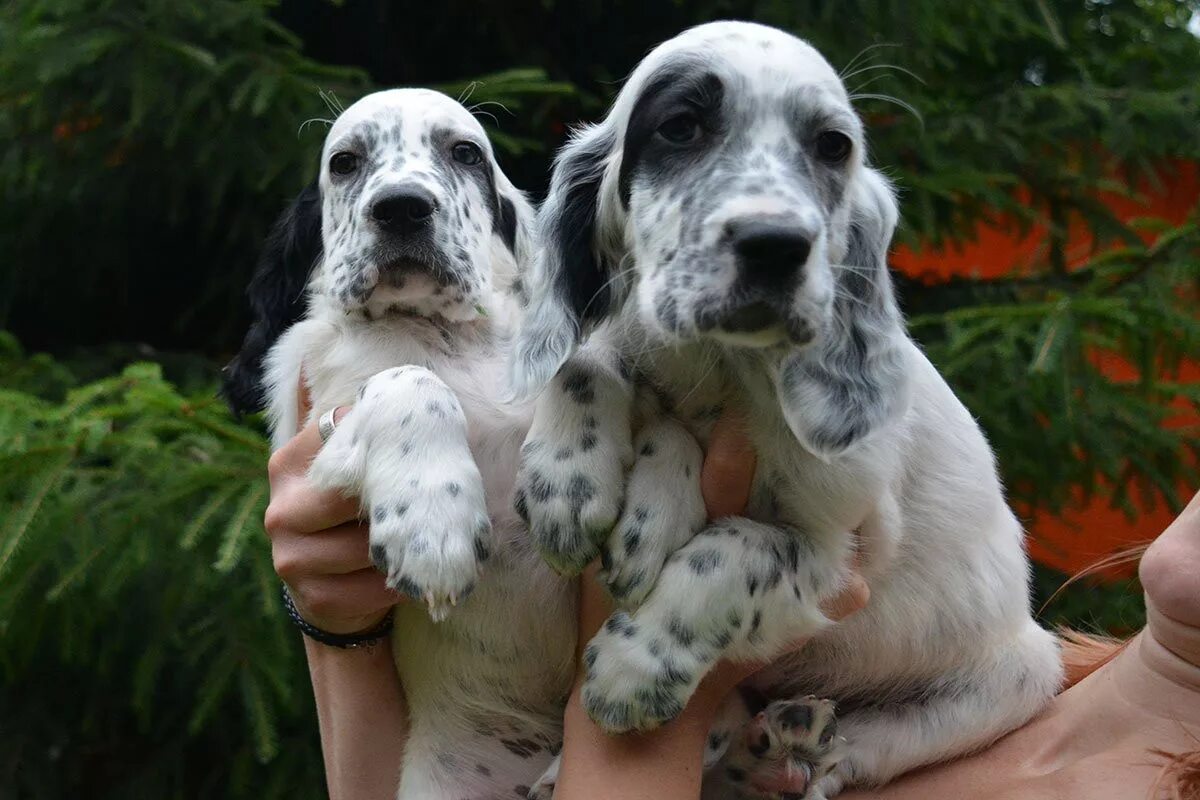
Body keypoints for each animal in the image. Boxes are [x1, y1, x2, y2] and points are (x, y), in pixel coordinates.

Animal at [231, 89, 578, 800]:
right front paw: (432, 531)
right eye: (344, 162)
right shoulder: (323, 424)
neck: (448, 336)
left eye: (465, 152)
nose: (401, 208)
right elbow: (409, 380)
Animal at [511, 20, 1065, 800]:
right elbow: (588, 363)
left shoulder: (845, 548)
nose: (776, 246)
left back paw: (794, 741)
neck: (726, 369)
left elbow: (739, 548)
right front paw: (571, 485)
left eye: (833, 145)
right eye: (679, 127)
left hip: (1014, 678)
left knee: (849, 753)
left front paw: (635, 666)